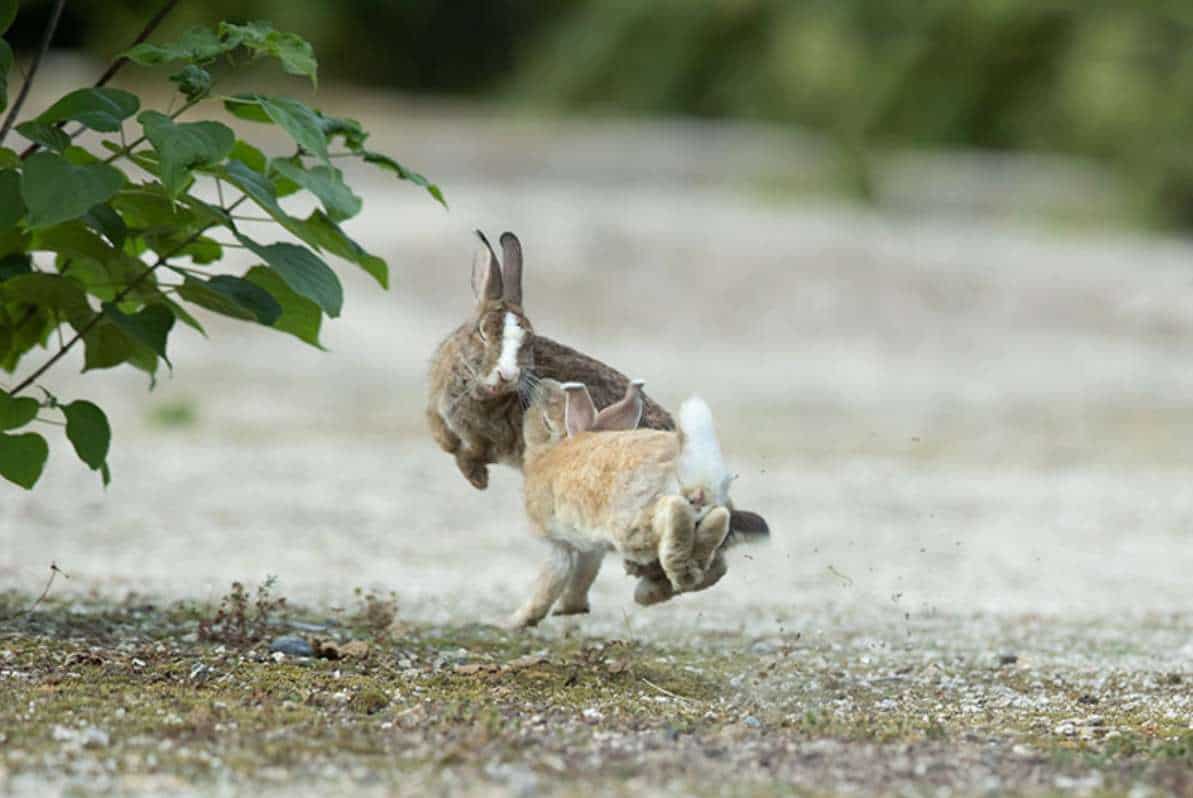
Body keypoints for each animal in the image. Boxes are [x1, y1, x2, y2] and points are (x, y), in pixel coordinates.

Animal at [424, 229, 768, 541]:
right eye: (482, 332)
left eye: (528, 340)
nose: (507, 374)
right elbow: (445, 439)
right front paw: (469, 469)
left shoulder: (492, 440)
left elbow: (470, 453)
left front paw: (478, 479)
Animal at [508, 379, 730, 629]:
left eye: (545, 419)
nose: (542, 384)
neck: (548, 452)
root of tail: (693, 471)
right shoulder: (589, 547)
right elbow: (583, 576)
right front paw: (568, 608)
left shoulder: (561, 543)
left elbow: (551, 580)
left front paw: (516, 621)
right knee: (718, 545)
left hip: (632, 527)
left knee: (674, 512)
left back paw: (677, 574)